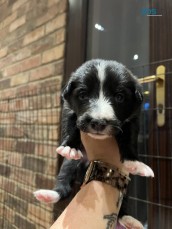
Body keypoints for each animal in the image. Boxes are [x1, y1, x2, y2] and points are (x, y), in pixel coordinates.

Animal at [33, 60, 153, 228]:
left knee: (123, 204)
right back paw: (49, 194)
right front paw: (70, 146)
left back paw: (129, 220)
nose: (98, 122)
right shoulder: (69, 110)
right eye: (83, 95)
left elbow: (129, 140)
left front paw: (134, 162)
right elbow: (71, 126)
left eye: (120, 97)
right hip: (70, 166)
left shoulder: (133, 120)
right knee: (64, 184)